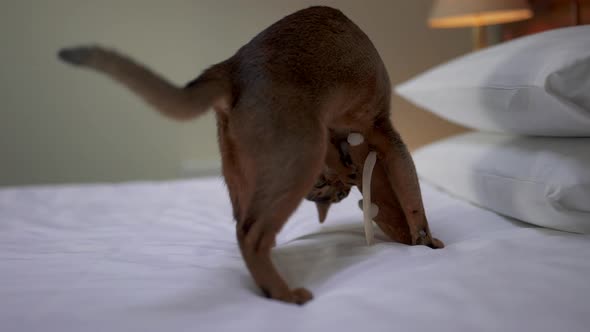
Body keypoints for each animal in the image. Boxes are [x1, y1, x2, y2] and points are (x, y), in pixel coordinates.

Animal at [59, 5, 444, 306]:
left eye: (336, 192)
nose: (343, 186)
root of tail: (230, 66)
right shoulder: (383, 132)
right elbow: (412, 194)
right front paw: (427, 242)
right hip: (301, 153)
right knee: (252, 235)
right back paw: (285, 294)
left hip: (241, 175)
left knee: (241, 225)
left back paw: (267, 285)